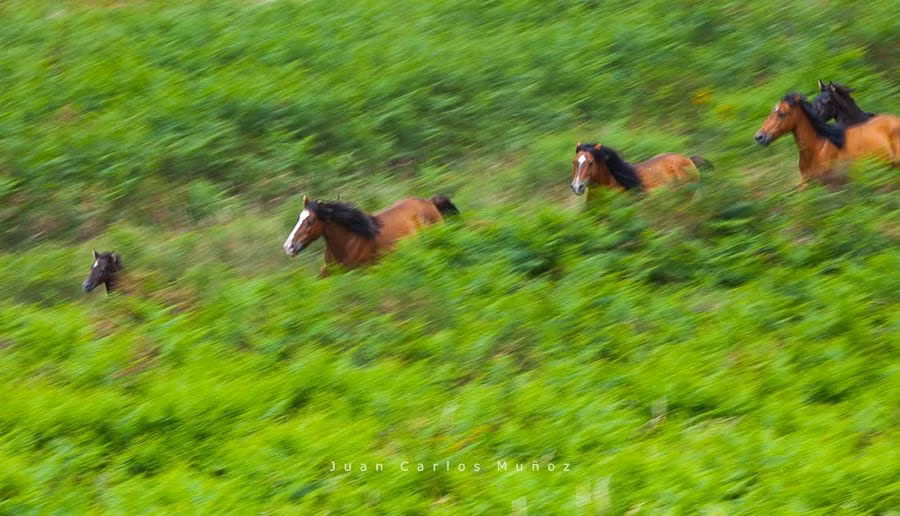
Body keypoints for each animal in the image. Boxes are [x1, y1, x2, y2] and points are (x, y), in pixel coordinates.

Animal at [282, 194, 459, 276]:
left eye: (310, 221)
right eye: (299, 218)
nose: (288, 247)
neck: (347, 242)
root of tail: (429, 202)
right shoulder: (329, 272)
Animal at [754, 93, 900, 189]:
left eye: (781, 114)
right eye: (771, 112)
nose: (759, 137)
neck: (817, 148)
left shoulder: (831, 184)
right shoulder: (805, 182)